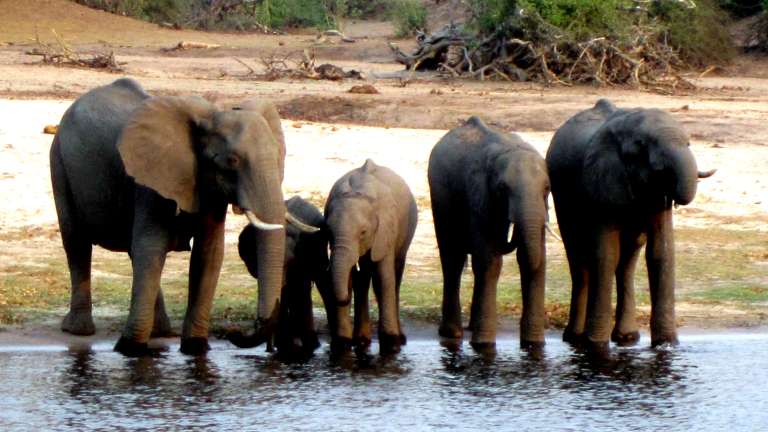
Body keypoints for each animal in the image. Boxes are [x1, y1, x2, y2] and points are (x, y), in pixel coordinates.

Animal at [50, 78, 316, 356]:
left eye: (277, 156)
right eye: (232, 161)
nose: (233, 333)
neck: (211, 116)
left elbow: (208, 255)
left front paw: (196, 348)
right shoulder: (152, 181)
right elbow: (151, 249)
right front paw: (129, 349)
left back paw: (161, 332)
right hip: (59, 161)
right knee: (77, 244)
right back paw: (79, 330)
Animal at [231, 195, 334, 355]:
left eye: (288, 262)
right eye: (254, 261)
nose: (234, 331)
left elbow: (299, 290)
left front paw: (303, 348)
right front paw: (285, 348)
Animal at [325, 159, 418, 355]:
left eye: (363, 232)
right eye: (328, 231)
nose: (344, 300)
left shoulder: (386, 229)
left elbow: (383, 279)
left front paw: (391, 345)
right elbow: (350, 278)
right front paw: (342, 345)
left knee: (394, 275)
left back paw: (399, 339)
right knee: (362, 279)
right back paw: (361, 341)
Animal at [428, 116, 551, 351]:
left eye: (547, 188)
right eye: (502, 188)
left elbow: (534, 261)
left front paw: (534, 345)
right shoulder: (479, 195)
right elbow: (490, 261)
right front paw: (483, 346)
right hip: (439, 196)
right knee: (453, 259)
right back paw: (453, 333)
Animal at [546, 99, 715, 354]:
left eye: (688, 143)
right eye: (643, 146)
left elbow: (661, 253)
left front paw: (667, 346)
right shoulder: (602, 181)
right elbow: (606, 255)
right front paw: (596, 346)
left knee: (627, 261)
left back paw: (626, 338)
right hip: (561, 195)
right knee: (578, 258)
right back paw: (575, 338)